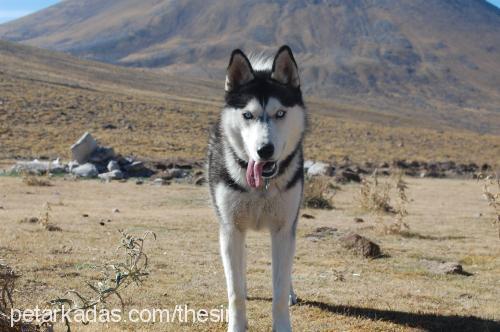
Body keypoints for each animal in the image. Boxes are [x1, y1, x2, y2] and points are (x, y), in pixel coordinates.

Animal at [207, 44, 304, 332]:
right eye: (247, 115)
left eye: (280, 113)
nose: (265, 150)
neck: (262, 187)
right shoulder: (230, 229)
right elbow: (235, 291)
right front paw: (237, 326)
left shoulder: (284, 229)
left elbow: (280, 289)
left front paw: (282, 325)